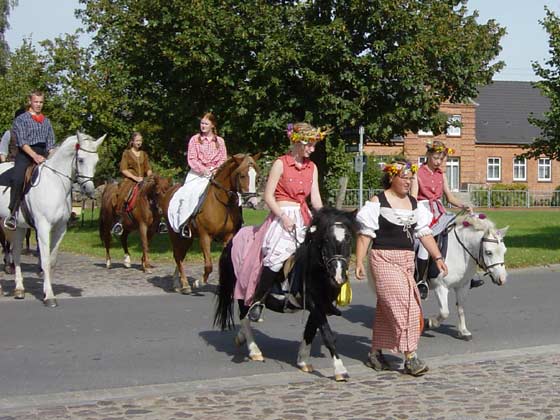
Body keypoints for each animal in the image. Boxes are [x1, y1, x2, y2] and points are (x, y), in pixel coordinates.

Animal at [0, 133, 106, 306]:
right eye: (81, 159)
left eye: (96, 161)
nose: (89, 190)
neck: (55, 184)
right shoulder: (43, 227)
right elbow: (44, 260)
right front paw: (49, 296)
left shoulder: (60, 228)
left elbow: (52, 260)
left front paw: (46, 290)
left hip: (20, 227)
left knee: (16, 254)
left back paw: (19, 289)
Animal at [161, 153, 260, 294]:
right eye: (242, 175)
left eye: (256, 176)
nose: (252, 202)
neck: (223, 203)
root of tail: (169, 192)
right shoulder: (205, 236)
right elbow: (208, 265)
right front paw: (199, 282)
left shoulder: (228, 237)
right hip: (174, 234)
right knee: (177, 256)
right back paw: (185, 285)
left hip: (187, 238)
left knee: (180, 255)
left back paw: (177, 282)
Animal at [214, 208, 358, 382]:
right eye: (325, 239)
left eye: (349, 238)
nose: (338, 276)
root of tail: (232, 241)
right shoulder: (315, 303)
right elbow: (327, 334)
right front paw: (340, 370)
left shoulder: (319, 305)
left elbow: (310, 331)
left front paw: (303, 361)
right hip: (243, 289)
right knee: (244, 315)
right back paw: (254, 350)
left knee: (245, 316)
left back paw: (241, 338)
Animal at [426, 213, 510, 342]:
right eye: (488, 252)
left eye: (504, 251)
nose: (502, 279)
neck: (458, 251)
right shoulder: (440, 287)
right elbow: (445, 312)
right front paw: (431, 323)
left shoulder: (463, 286)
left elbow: (460, 308)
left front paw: (463, 331)